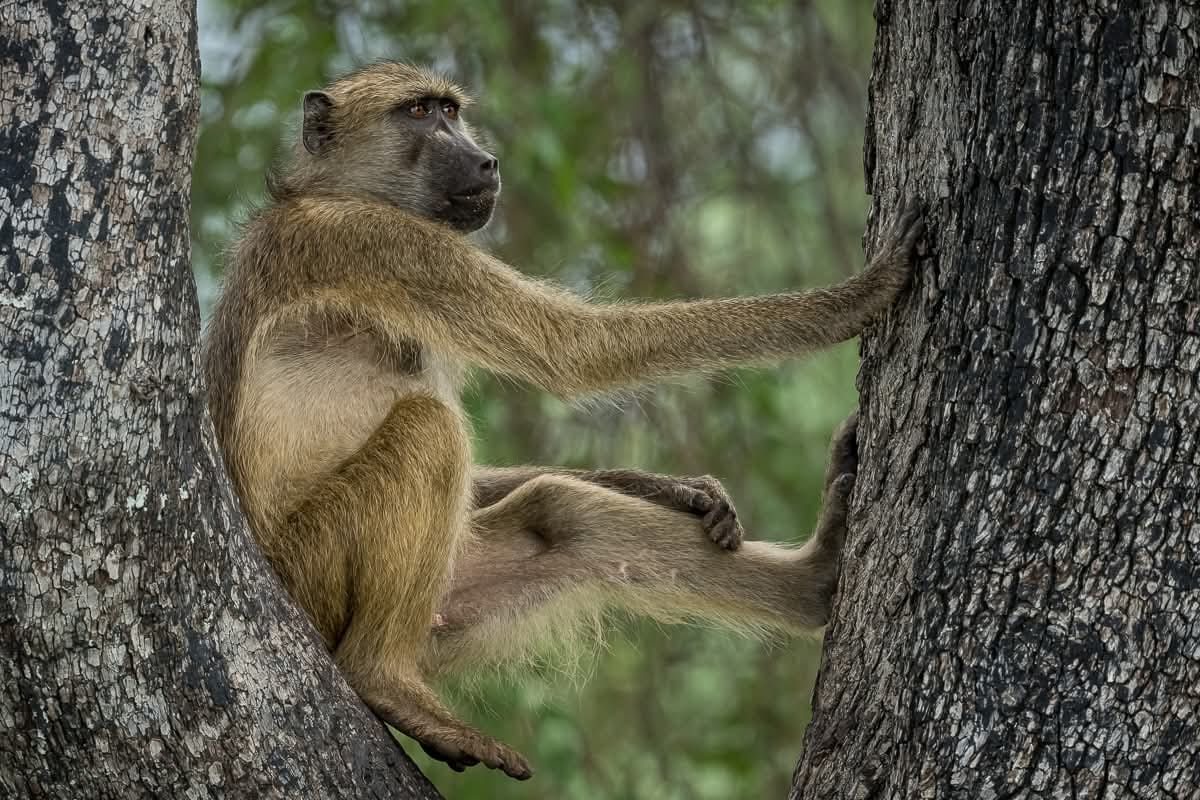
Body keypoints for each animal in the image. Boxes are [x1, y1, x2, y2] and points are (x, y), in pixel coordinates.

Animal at [201, 61, 923, 780]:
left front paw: (672, 489)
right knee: (429, 432)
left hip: (447, 598)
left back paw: (816, 578)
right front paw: (859, 295)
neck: (333, 189)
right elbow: (570, 348)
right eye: (418, 114)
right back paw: (384, 680)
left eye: (450, 111)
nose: (486, 161)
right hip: (312, 572)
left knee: (560, 514)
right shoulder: (374, 242)